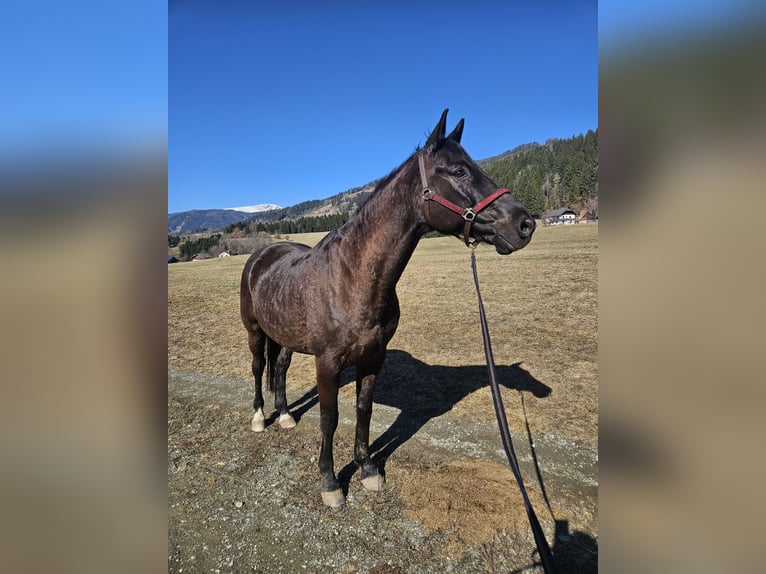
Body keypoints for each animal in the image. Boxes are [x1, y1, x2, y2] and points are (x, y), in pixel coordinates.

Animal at [240, 109, 535, 507]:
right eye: (459, 171)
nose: (524, 224)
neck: (352, 276)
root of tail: (263, 254)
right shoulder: (327, 363)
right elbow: (330, 417)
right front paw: (330, 482)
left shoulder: (372, 358)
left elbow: (363, 411)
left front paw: (367, 470)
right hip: (255, 332)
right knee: (259, 368)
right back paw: (260, 417)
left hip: (285, 337)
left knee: (281, 368)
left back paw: (285, 415)